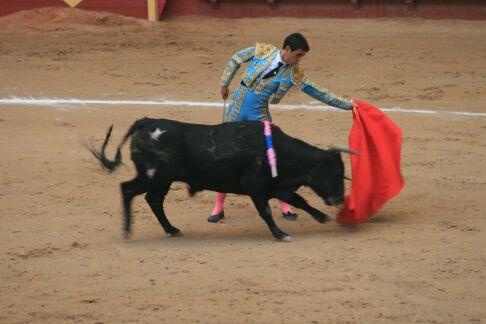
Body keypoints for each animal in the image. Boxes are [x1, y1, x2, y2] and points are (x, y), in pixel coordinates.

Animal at [89, 118, 352, 240]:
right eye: (335, 173)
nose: (340, 199)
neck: (276, 149)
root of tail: (147, 122)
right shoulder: (255, 187)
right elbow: (266, 211)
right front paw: (281, 234)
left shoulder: (275, 185)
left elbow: (299, 200)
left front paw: (322, 217)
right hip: (153, 176)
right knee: (127, 189)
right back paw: (126, 230)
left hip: (162, 181)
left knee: (153, 201)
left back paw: (172, 229)